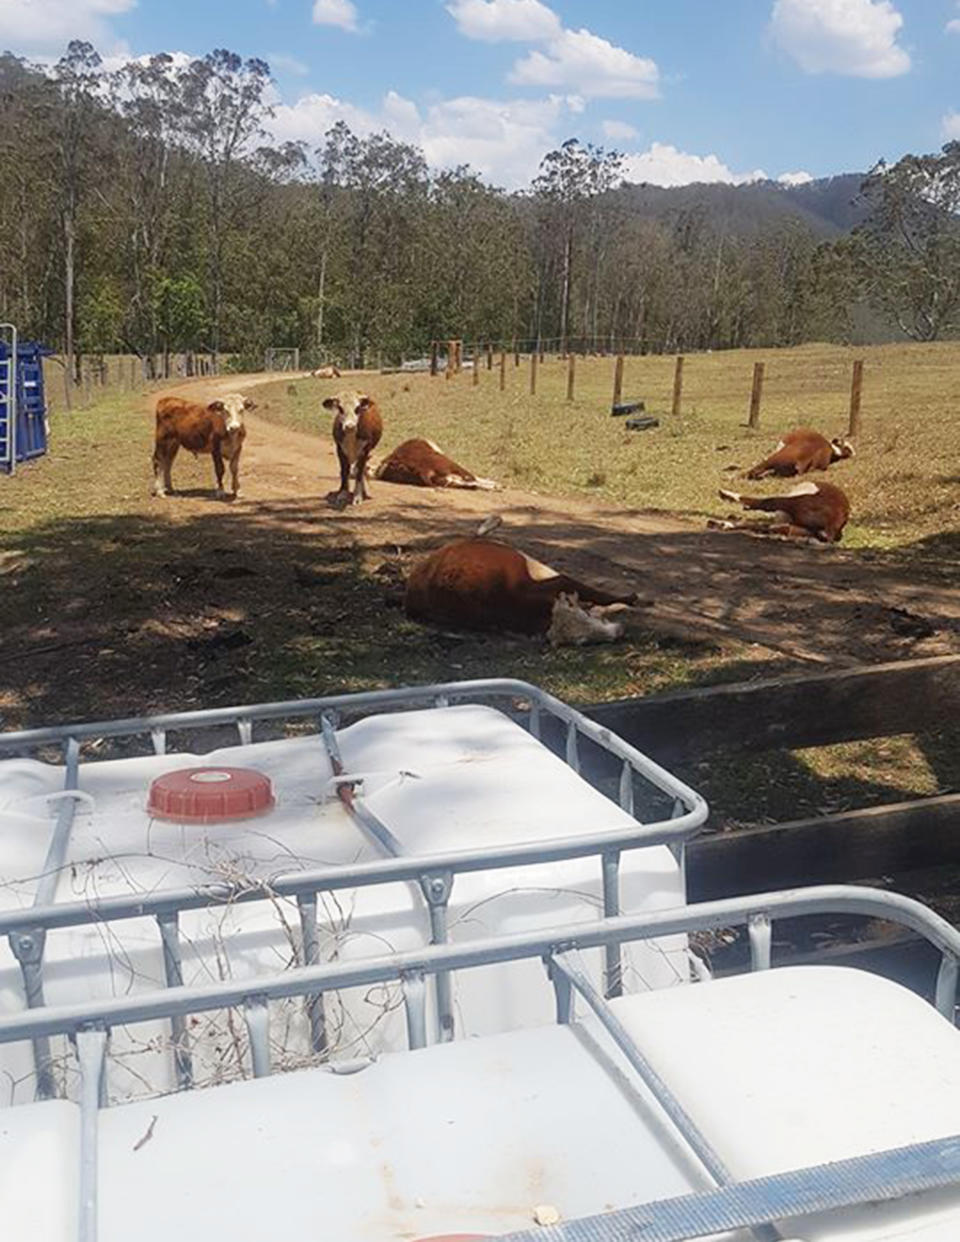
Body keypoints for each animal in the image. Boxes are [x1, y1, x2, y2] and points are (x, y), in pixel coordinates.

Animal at [705, 479, 849, 543]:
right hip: (799, 525)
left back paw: (726, 497)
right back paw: (720, 523)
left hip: (797, 503)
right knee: (769, 526)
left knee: (768, 503)